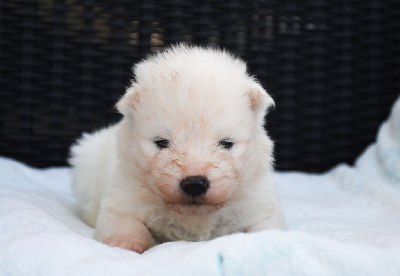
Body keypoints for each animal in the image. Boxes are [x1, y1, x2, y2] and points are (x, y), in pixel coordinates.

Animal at [71, 44, 284, 253]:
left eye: (226, 143)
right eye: (162, 142)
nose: (195, 184)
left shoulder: (257, 203)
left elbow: (265, 228)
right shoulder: (124, 194)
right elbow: (125, 221)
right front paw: (126, 242)